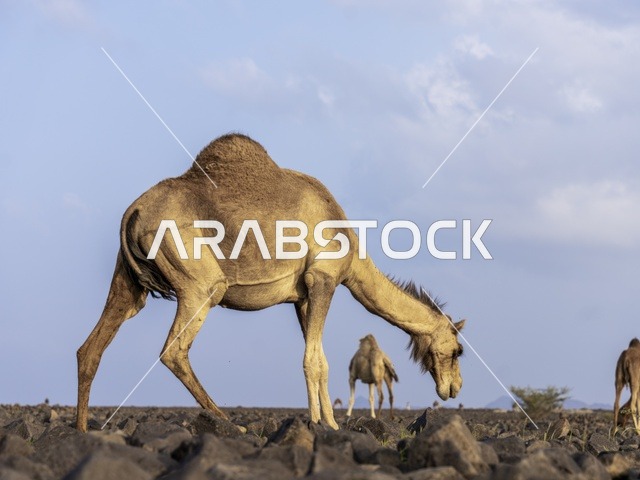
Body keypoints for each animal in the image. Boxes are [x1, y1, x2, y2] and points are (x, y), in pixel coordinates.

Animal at [76, 133, 465, 432]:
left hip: (128, 281)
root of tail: (134, 211)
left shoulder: (302, 296)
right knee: (174, 349)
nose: (455, 387)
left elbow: (318, 357)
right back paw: (230, 424)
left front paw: (326, 422)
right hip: (200, 283)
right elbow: (315, 361)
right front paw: (325, 425)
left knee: (92, 347)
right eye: (457, 350)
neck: (354, 258)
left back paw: (81, 431)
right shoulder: (323, 279)